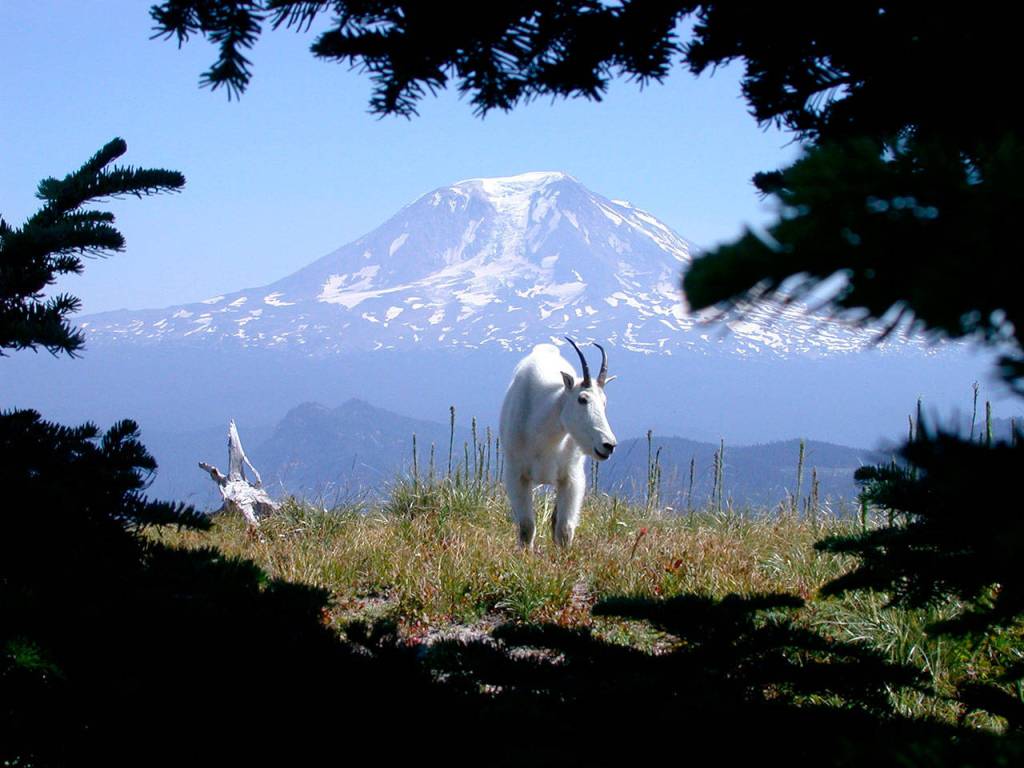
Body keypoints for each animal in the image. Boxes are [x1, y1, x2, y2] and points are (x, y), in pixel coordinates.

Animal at [499, 338, 617, 548]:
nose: (608, 445)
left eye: (604, 401)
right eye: (582, 399)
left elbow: (564, 528)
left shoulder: (571, 477)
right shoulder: (516, 474)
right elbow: (526, 526)